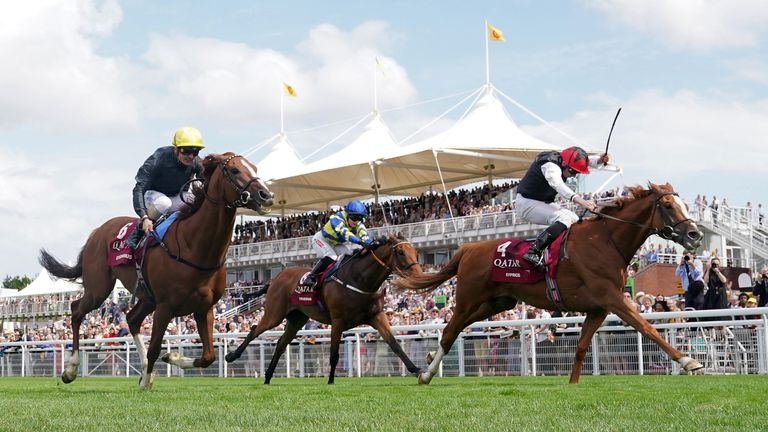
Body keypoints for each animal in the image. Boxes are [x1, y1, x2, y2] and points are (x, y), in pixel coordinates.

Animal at [39, 154, 274, 390]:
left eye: (254, 168)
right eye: (234, 170)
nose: (267, 195)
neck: (195, 247)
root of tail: (96, 232)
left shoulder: (204, 308)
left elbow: (209, 356)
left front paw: (171, 359)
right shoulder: (165, 307)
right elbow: (155, 347)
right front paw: (147, 381)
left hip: (146, 297)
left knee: (131, 319)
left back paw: (144, 370)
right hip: (99, 288)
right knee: (77, 310)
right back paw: (71, 369)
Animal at [225, 235, 424, 384]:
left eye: (415, 252)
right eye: (401, 252)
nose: (419, 275)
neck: (359, 279)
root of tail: (275, 279)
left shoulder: (377, 316)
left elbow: (394, 344)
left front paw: (417, 370)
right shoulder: (338, 320)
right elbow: (334, 353)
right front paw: (330, 381)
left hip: (296, 319)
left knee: (281, 344)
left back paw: (267, 377)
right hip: (275, 313)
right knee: (254, 330)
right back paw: (232, 356)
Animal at [392, 182, 704, 384]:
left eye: (685, 205)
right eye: (668, 206)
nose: (695, 234)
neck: (605, 241)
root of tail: (468, 248)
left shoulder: (598, 308)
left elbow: (581, 347)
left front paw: (573, 385)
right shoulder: (612, 298)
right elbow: (646, 326)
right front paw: (689, 361)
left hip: (497, 303)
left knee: (458, 328)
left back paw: (428, 362)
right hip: (468, 299)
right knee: (449, 331)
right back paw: (426, 374)